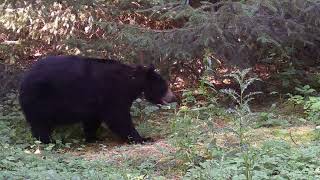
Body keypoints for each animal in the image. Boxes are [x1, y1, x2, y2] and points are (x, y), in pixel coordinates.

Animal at [18, 55, 176, 144]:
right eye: (165, 86)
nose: (174, 98)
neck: (131, 81)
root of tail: (24, 80)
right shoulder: (113, 93)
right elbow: (119, 117)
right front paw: (142, 138)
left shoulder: (95, 102)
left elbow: (93, 119)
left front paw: (92, 137)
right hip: (41, 98)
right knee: (41, 123)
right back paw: (49, 141)